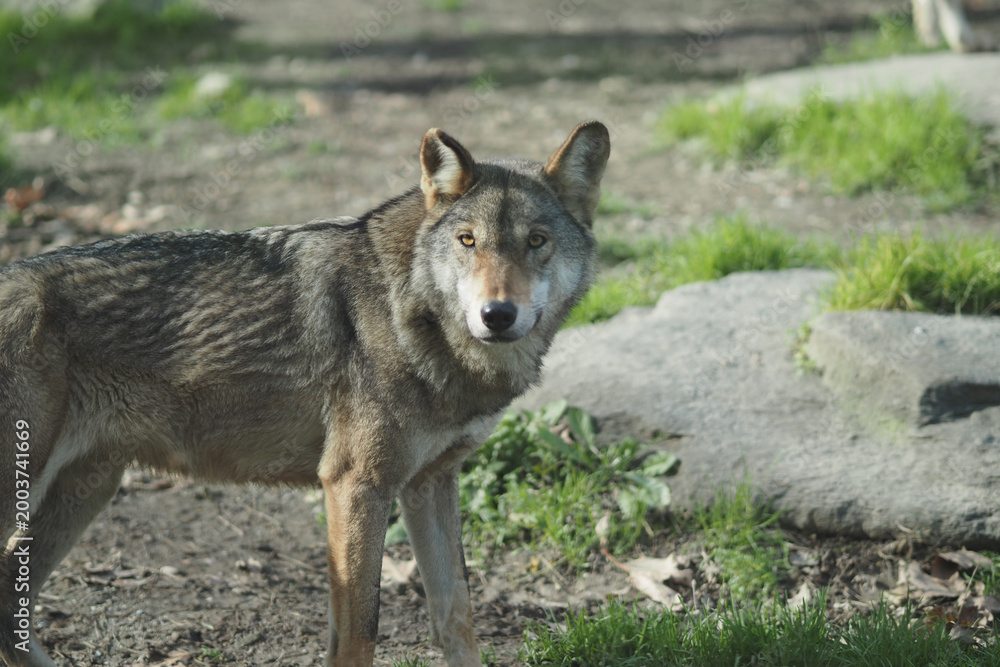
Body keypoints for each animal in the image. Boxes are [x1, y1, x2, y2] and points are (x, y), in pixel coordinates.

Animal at [0, 121, 610, 667]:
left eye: (536, 242)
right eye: (468, 242)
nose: (497, 314)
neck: (413, 311)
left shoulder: (430, 484)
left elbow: (456, 617)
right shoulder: (355, 485)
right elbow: (360, 635)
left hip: (88, 489)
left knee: (12, 607)